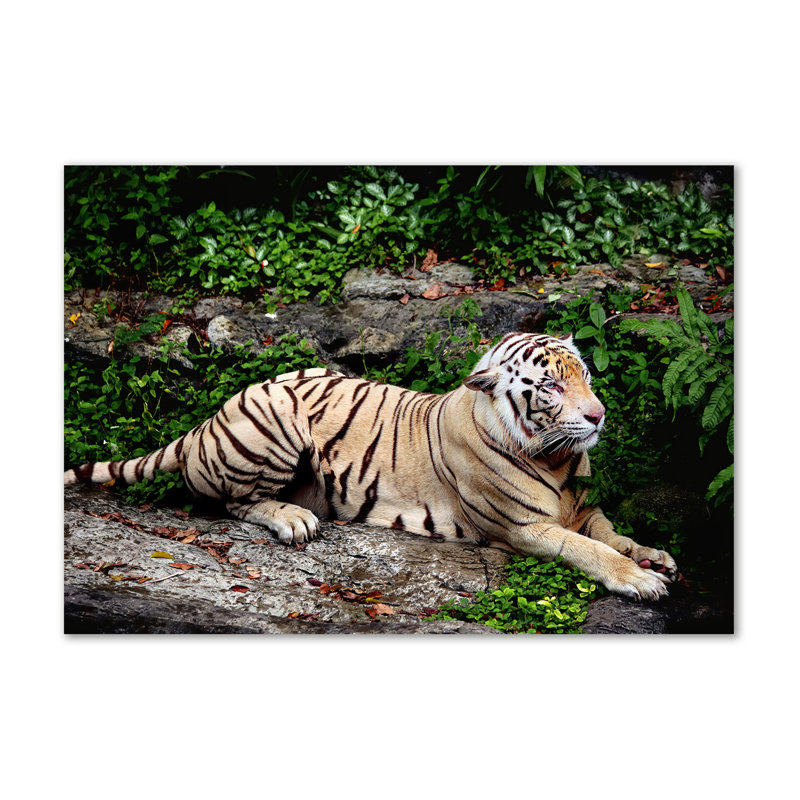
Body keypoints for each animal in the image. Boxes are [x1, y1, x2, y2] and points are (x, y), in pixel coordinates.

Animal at [64, 332, 677, 601]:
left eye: (585, 375)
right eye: (550, 386)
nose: (598, 415)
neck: (558, 459)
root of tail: (205, 421)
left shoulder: (582, 506)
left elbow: (610, 531)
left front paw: (653, 555)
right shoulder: (523, 528)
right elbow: (589, 549)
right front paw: (639, 579)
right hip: (278, 417)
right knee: (233, 503)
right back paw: (294, 519)